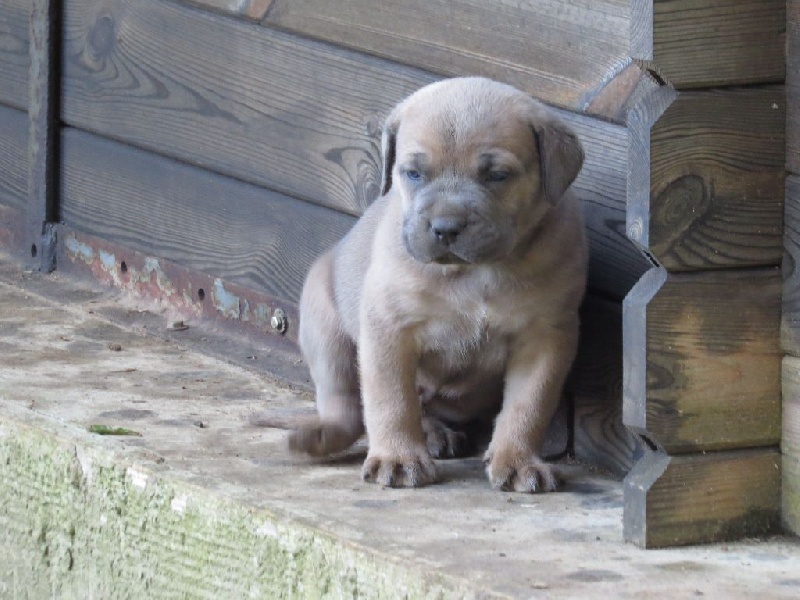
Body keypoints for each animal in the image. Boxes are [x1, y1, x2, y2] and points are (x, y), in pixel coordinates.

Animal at [290, 77, 584, 492]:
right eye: (413, 174)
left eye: (497, 175)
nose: (445, 228)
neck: (474, 273)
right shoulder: (388, 327)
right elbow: (391, 399)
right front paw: (397, 457)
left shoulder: (546, 335)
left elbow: (529, 405)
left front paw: (518, 460)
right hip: (323, 325)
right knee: (345, 405)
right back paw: (325, 436)